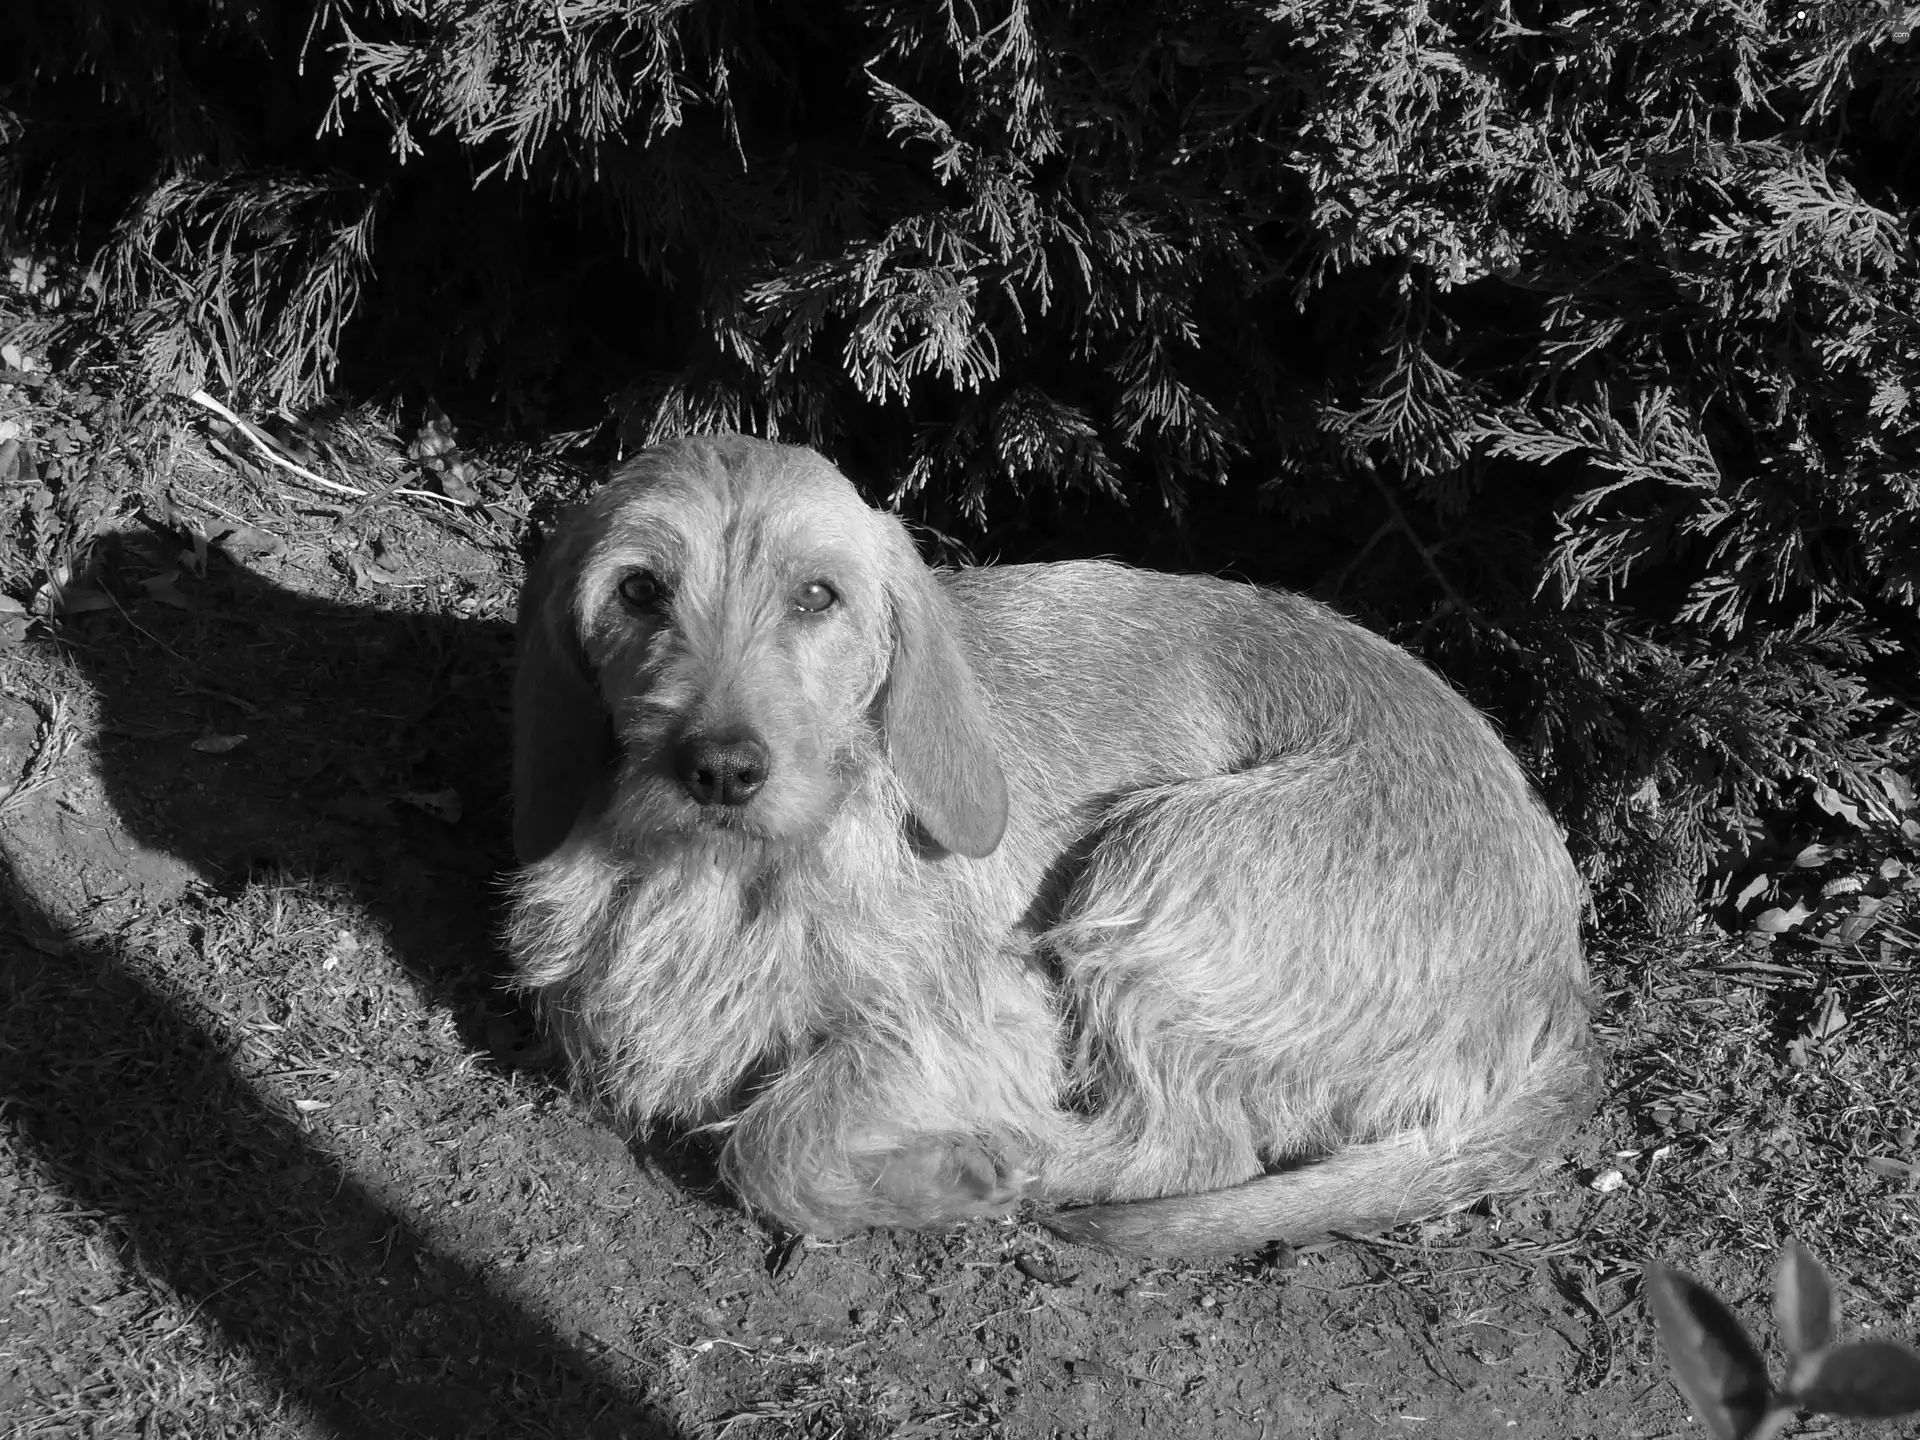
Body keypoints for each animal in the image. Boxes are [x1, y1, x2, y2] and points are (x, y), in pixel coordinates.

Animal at [503, 433, 1597, 1259]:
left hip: (1157, 863)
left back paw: (1025, 1163)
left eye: (818, 596)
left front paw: (949, 1173)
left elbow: (770, 1143)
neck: (738, 877)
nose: (722, 769)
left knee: (1196, 1149)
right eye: (639, 590)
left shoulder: (982, 1024)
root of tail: (1560, 987)